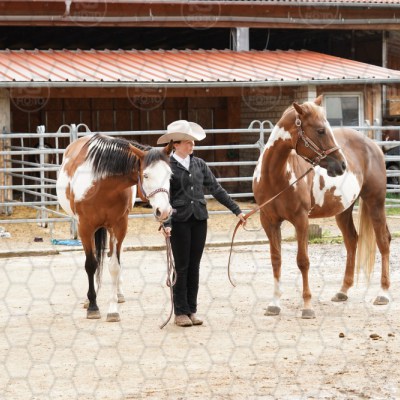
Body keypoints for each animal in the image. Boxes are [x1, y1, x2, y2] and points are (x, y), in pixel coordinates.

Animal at [56, 133, 173, 321]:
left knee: (112, 255)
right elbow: (91, 264)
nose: (164, 211)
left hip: (111, 230)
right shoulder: (85, 228)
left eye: (169, 175)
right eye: (146, 175)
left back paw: (118, 294)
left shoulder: (120, 226)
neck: (101, 184)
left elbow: (114, 266)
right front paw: (93, 306)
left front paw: (112, 309)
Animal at [253, 95, 391, 319]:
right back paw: (343, 291)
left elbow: (303, 261)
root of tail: (373, 145)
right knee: (352, 241)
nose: (342, 165)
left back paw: (383, 293)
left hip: (375, 202)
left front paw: (307, 306)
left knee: (383, 241)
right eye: (320, 130)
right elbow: (276, 259)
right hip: (343, 210)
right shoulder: (269, 221)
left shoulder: (301, 220)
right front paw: (274, 304)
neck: (275, 176)